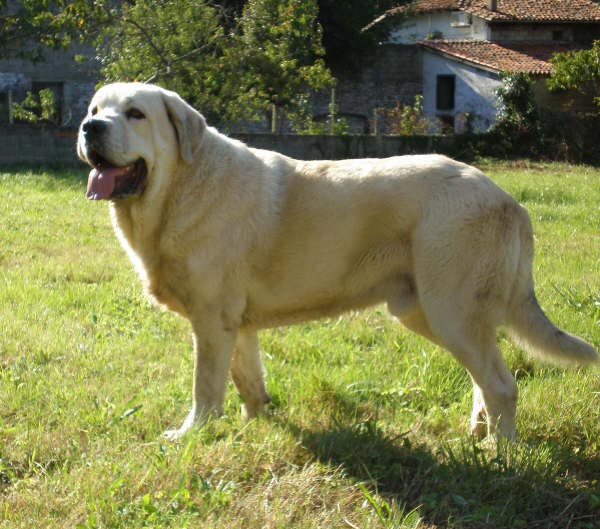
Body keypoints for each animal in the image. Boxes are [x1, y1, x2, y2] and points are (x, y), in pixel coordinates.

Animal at [77, 81, 596, 438]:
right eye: (96, 110)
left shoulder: (210, 319)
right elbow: (247, 379)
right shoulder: (235, 324)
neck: (178, 189)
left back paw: (500, 453)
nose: (89, 128)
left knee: (503, 385)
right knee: (486, 377)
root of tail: (509, 199)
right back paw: (478, 432)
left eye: (135, 114)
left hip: (452, 311)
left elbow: (205, 387)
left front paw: (192, 434)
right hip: (432, 313)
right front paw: (255, 425)